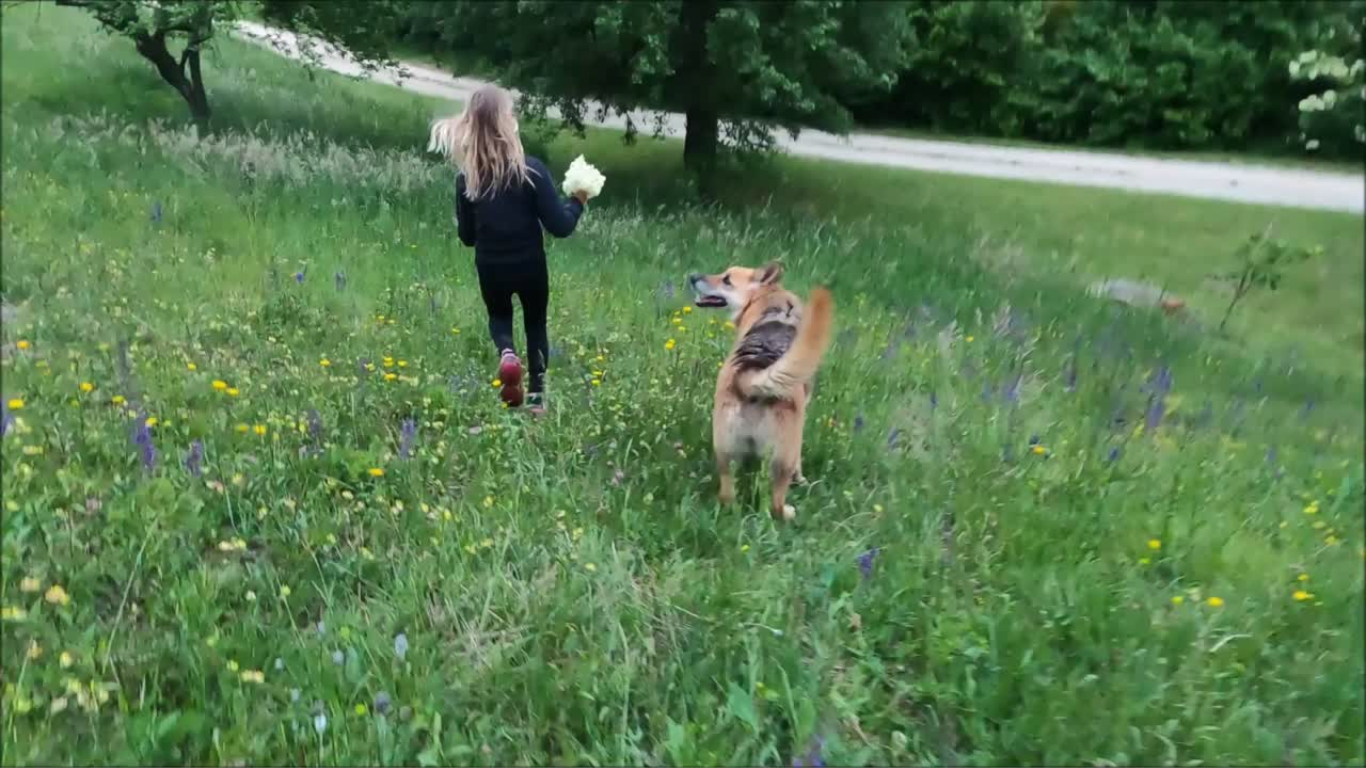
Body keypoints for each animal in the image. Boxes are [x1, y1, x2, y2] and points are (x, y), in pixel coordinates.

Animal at [693, 261, 830, 519]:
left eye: (727, 279)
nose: (692, 277)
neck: (766, 295)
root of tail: (751, 379)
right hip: (784, 456)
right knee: (776, 503)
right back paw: (788, 513)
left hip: (725, 452)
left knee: (728, 495)